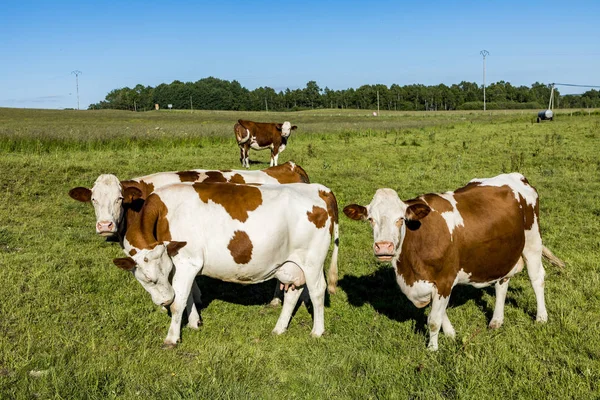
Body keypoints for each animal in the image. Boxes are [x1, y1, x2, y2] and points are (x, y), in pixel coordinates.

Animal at [111, 181, 338, 346]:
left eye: (158, 276)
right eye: (148, 279)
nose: (165, 299)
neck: (163, 211)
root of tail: (319, 188)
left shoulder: (187, 261)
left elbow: (179, 302)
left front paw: (172, 338)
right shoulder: (186, 265)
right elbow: (189, 295)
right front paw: (194, 322)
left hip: (312, 262)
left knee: (317, 290)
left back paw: (317, 331)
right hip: (292, 265)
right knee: (293, 293)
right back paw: (279, 328)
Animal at [342, 173, 564, 350]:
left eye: (401, 219)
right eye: (370, 219)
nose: (384, 247)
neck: (408, 269)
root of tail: (517, 176)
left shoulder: (444, 279)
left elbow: (433, 319)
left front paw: (432, 349)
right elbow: (439, 312)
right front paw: (451, 334)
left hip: (532, 241)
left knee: (537, 278)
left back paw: (541, 317)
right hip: (502, 253)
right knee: (502, 283)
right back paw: (496, 321)